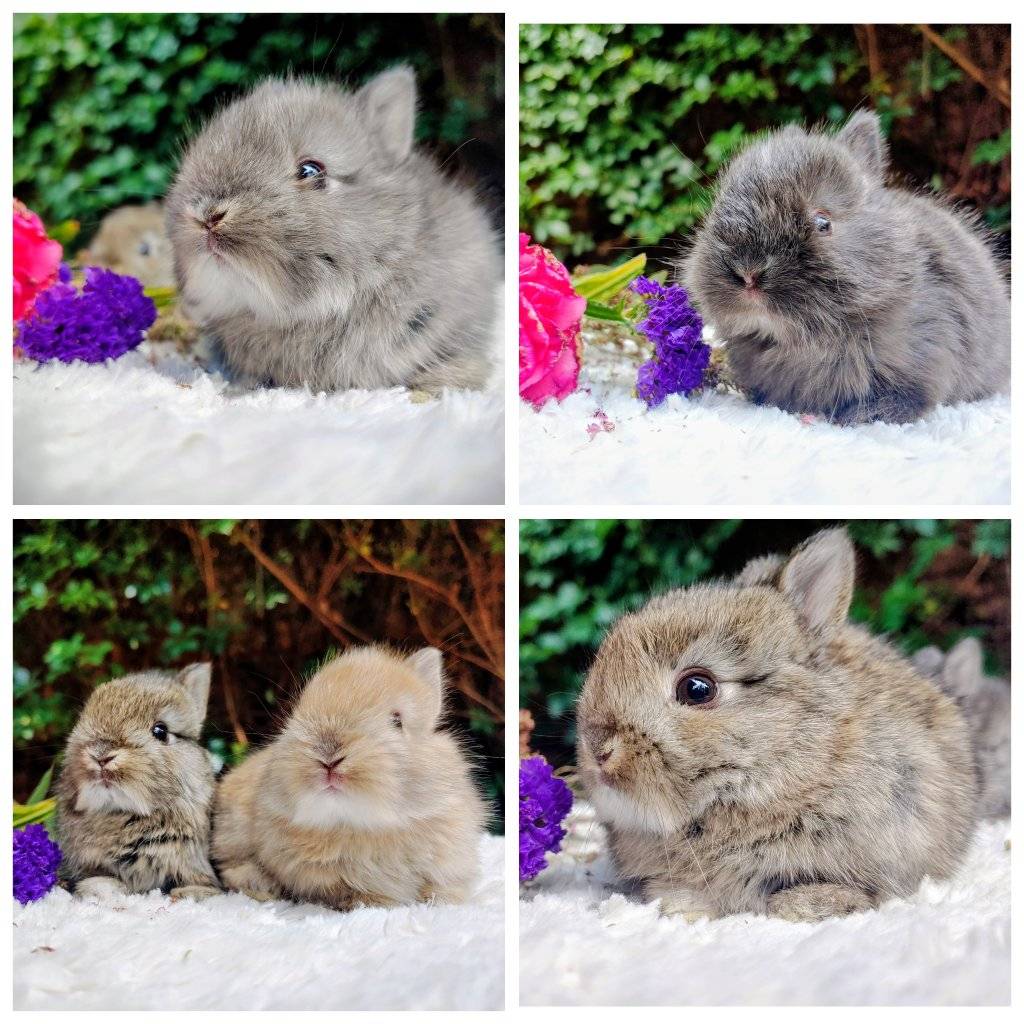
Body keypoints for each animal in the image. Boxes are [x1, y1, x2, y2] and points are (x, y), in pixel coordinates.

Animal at [55, 664, 221, 900]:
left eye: (160, 731)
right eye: (84, 718)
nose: (101, 755)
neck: (129, 815)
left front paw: (188, 893)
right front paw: (102, 888)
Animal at [211, 645, 486, 910]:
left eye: (397, 721)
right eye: (299, 710)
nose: (328, 756)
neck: (363, 827)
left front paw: (443, 901)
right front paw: (374, 903)